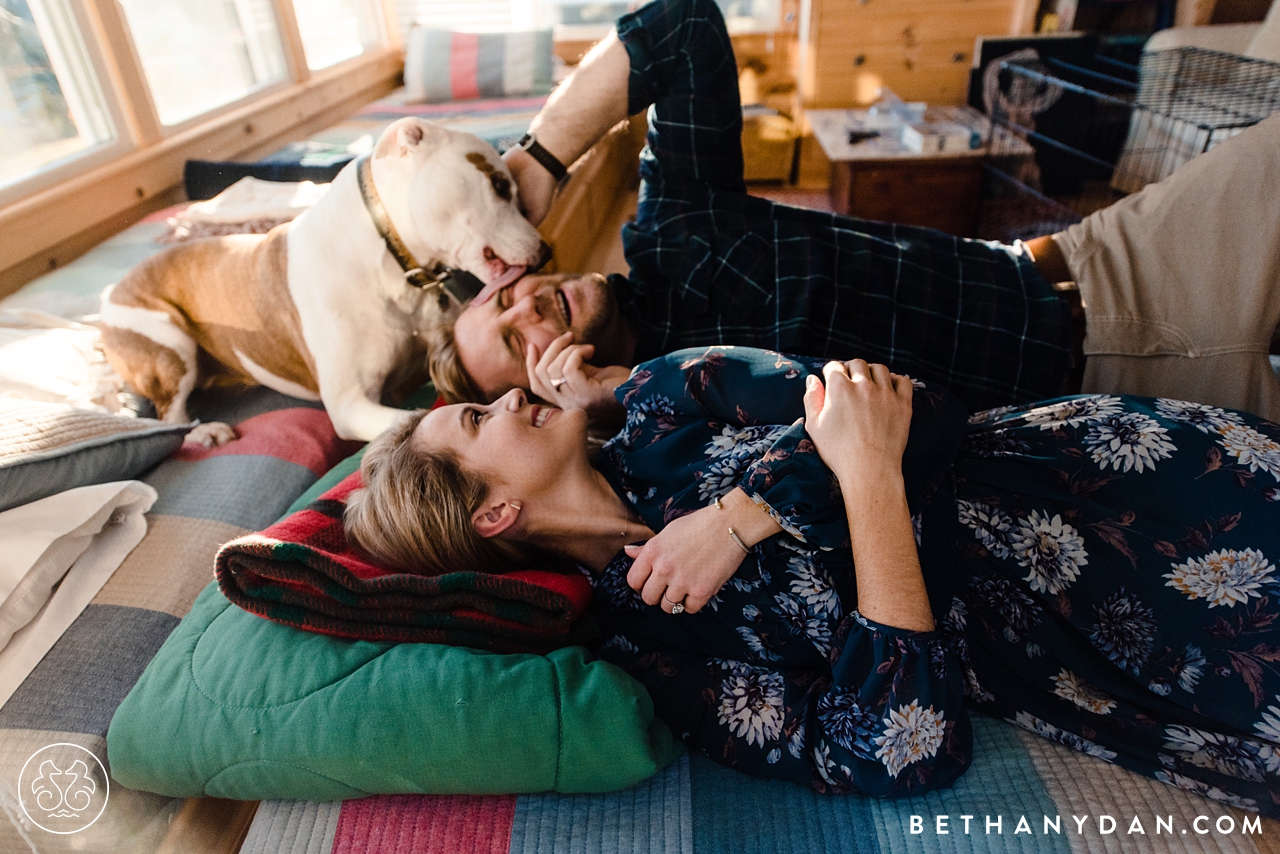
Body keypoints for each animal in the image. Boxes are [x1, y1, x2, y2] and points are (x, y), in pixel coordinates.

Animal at [98, 120, 540, 448]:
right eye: (500, 185)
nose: (545, 249)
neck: (392, 260)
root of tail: (111, 292)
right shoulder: (350, 404)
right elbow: (413, 418)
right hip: (170, 343)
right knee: (169, 416)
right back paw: (205, 431)